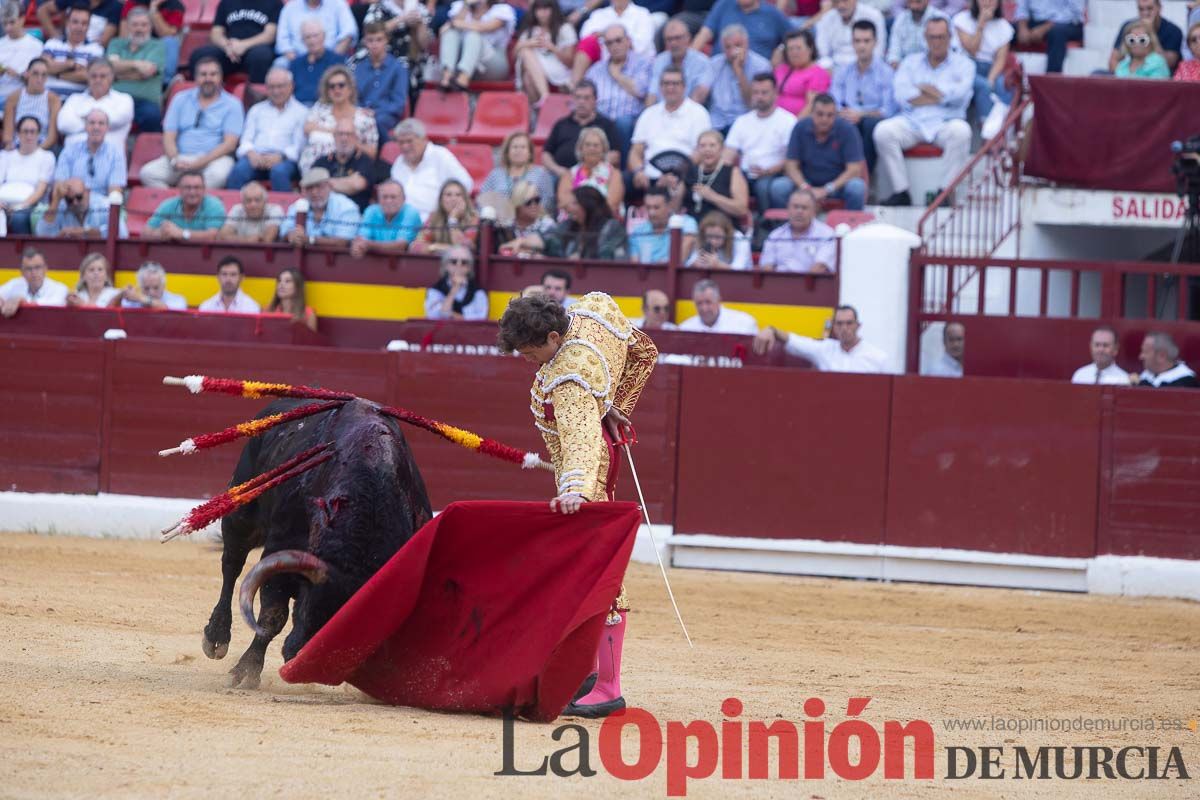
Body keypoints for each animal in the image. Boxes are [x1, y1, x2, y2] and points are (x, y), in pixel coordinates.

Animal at [201, 398, 432, 690]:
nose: (300, 658)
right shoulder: (279, 554)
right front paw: (246, 671)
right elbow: (273, 617)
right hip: (241, 513)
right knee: (231, 565)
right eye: (312, 607)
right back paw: (216, 637)